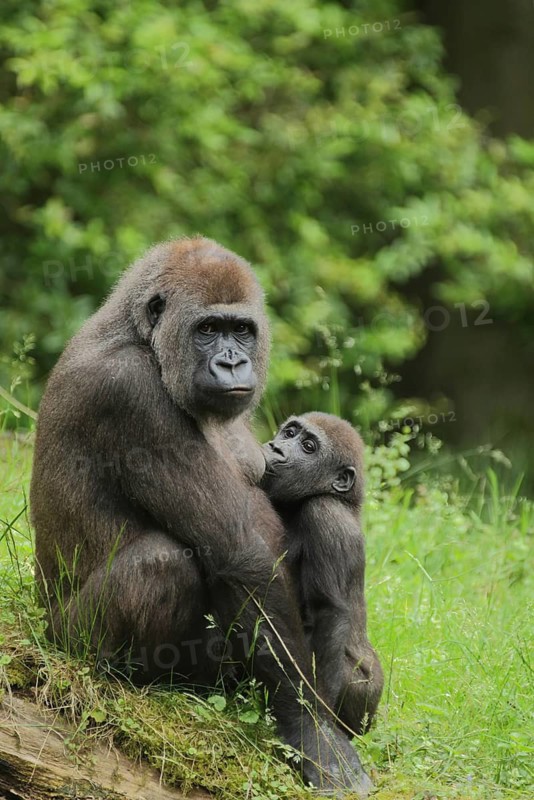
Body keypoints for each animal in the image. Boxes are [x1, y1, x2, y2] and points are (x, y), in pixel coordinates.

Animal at [261, 412, 384, 737]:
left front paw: (318, 716)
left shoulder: (325, 516)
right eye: (289, 433)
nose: (276, 448)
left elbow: (330, 610)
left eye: (308, 447)